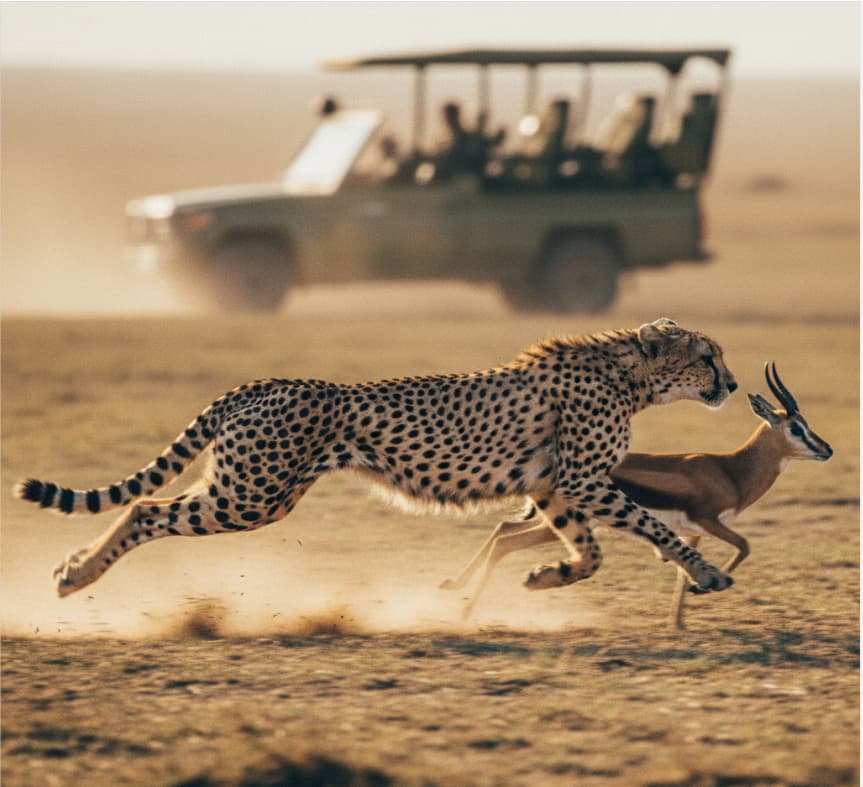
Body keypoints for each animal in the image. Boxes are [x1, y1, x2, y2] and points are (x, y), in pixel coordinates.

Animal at [14, 318, 738, 601]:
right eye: (707, 355)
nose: (731, 384)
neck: (629, 375)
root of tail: (266, 381)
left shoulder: (555, 487)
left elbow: (589, 551)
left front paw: (546, 577)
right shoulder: (585, 481)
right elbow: (653, 525)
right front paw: (704, 571)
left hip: (249, 490)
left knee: (147, 503)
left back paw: (73, 570)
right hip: (252, 494)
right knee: (145, 507)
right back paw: (75, 576)